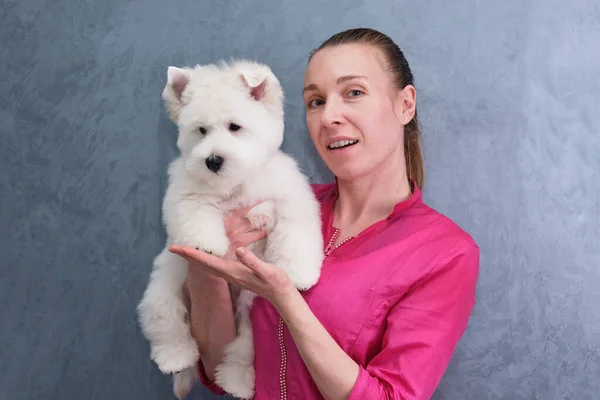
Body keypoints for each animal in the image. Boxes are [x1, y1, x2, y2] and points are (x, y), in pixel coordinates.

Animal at [137, 60, 324, 400]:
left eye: (234, 127)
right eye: (201, 130)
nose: (212, 160)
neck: (236, 180)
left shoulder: (289, 200)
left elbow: (295, 235)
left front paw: (299, 274)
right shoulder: (188, 193)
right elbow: (197, 213)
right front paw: (205, 244)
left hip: (248, 314)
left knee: (240, 352)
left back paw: (237, 381)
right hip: (165, 288)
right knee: (166, 323)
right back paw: (175, 356)